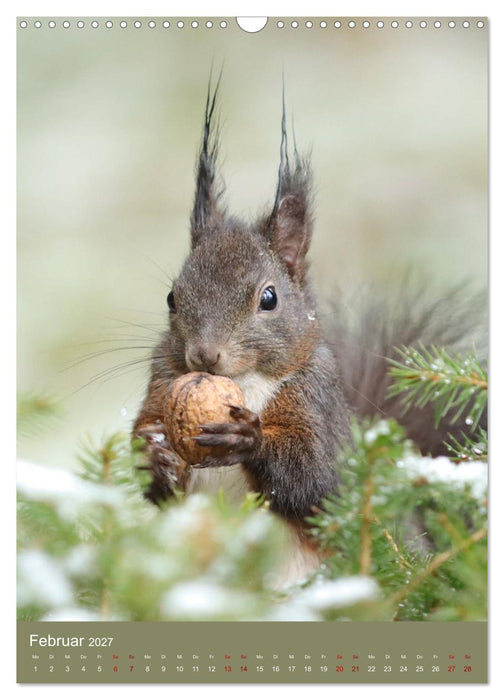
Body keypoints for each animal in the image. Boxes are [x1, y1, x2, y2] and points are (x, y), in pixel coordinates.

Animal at [133, 81, 486, 564]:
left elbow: (317, 479)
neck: (247, 383)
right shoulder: (161, 386)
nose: (204, 355)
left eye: (269, 298)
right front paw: (155, 457)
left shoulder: (318, 403)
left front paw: (247, 438)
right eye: (172, 297)